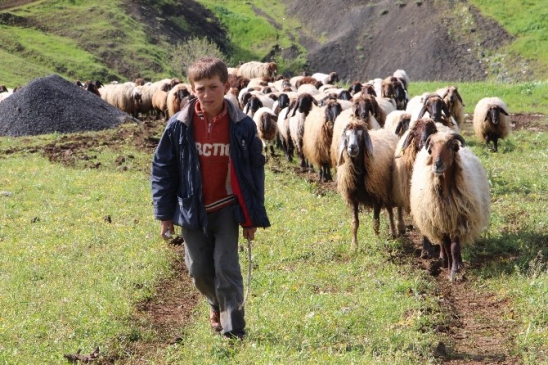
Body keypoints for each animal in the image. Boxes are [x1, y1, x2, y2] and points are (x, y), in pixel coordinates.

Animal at [334, 120, 402, 250]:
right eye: (346, 135)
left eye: (361, 135)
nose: (352, 147)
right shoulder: (353, 199)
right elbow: (354, 223)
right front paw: (353, 246)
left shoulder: (377, 197)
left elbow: (375, 223)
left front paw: (376, 242)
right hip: (386, 191)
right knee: (390, 210)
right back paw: (392, 232)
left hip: (395, 186)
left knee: (398, 207)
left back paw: (401, 228)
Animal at [408, 131, 490, 278]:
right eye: (431, 146)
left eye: (451, 146)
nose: (437, 164)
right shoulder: (440, 222)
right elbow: (446, 246)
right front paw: (448, 266)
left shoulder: (458, 220)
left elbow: (455, 247)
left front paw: (455, 270)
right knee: (441, 244)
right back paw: (443, 259)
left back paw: (459, 262)